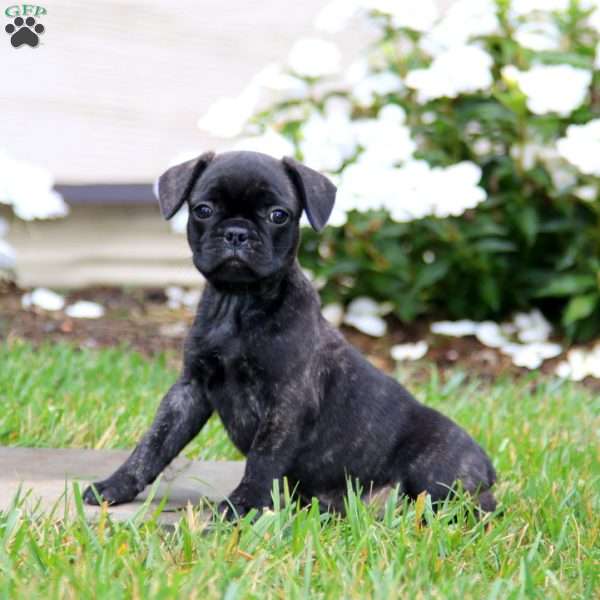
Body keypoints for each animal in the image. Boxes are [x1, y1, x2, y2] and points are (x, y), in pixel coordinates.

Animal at [84, 150, 496, 516]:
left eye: (277, 215)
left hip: (437, 470)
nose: (236, 233)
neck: (239, 303)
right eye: (203, 210)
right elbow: (154, 444)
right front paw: (115, 486)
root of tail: (490, 472)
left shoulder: (285, 401)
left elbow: (264, 456)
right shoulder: (189, 391)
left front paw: (244, 504)